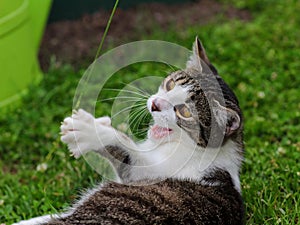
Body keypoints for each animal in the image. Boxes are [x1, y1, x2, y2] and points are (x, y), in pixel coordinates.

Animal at [12, 37, 245, 224]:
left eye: (185, 111)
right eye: (170, 85)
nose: (155, 104)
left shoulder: (144, 173)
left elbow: (125, 147)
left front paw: (89, 131)